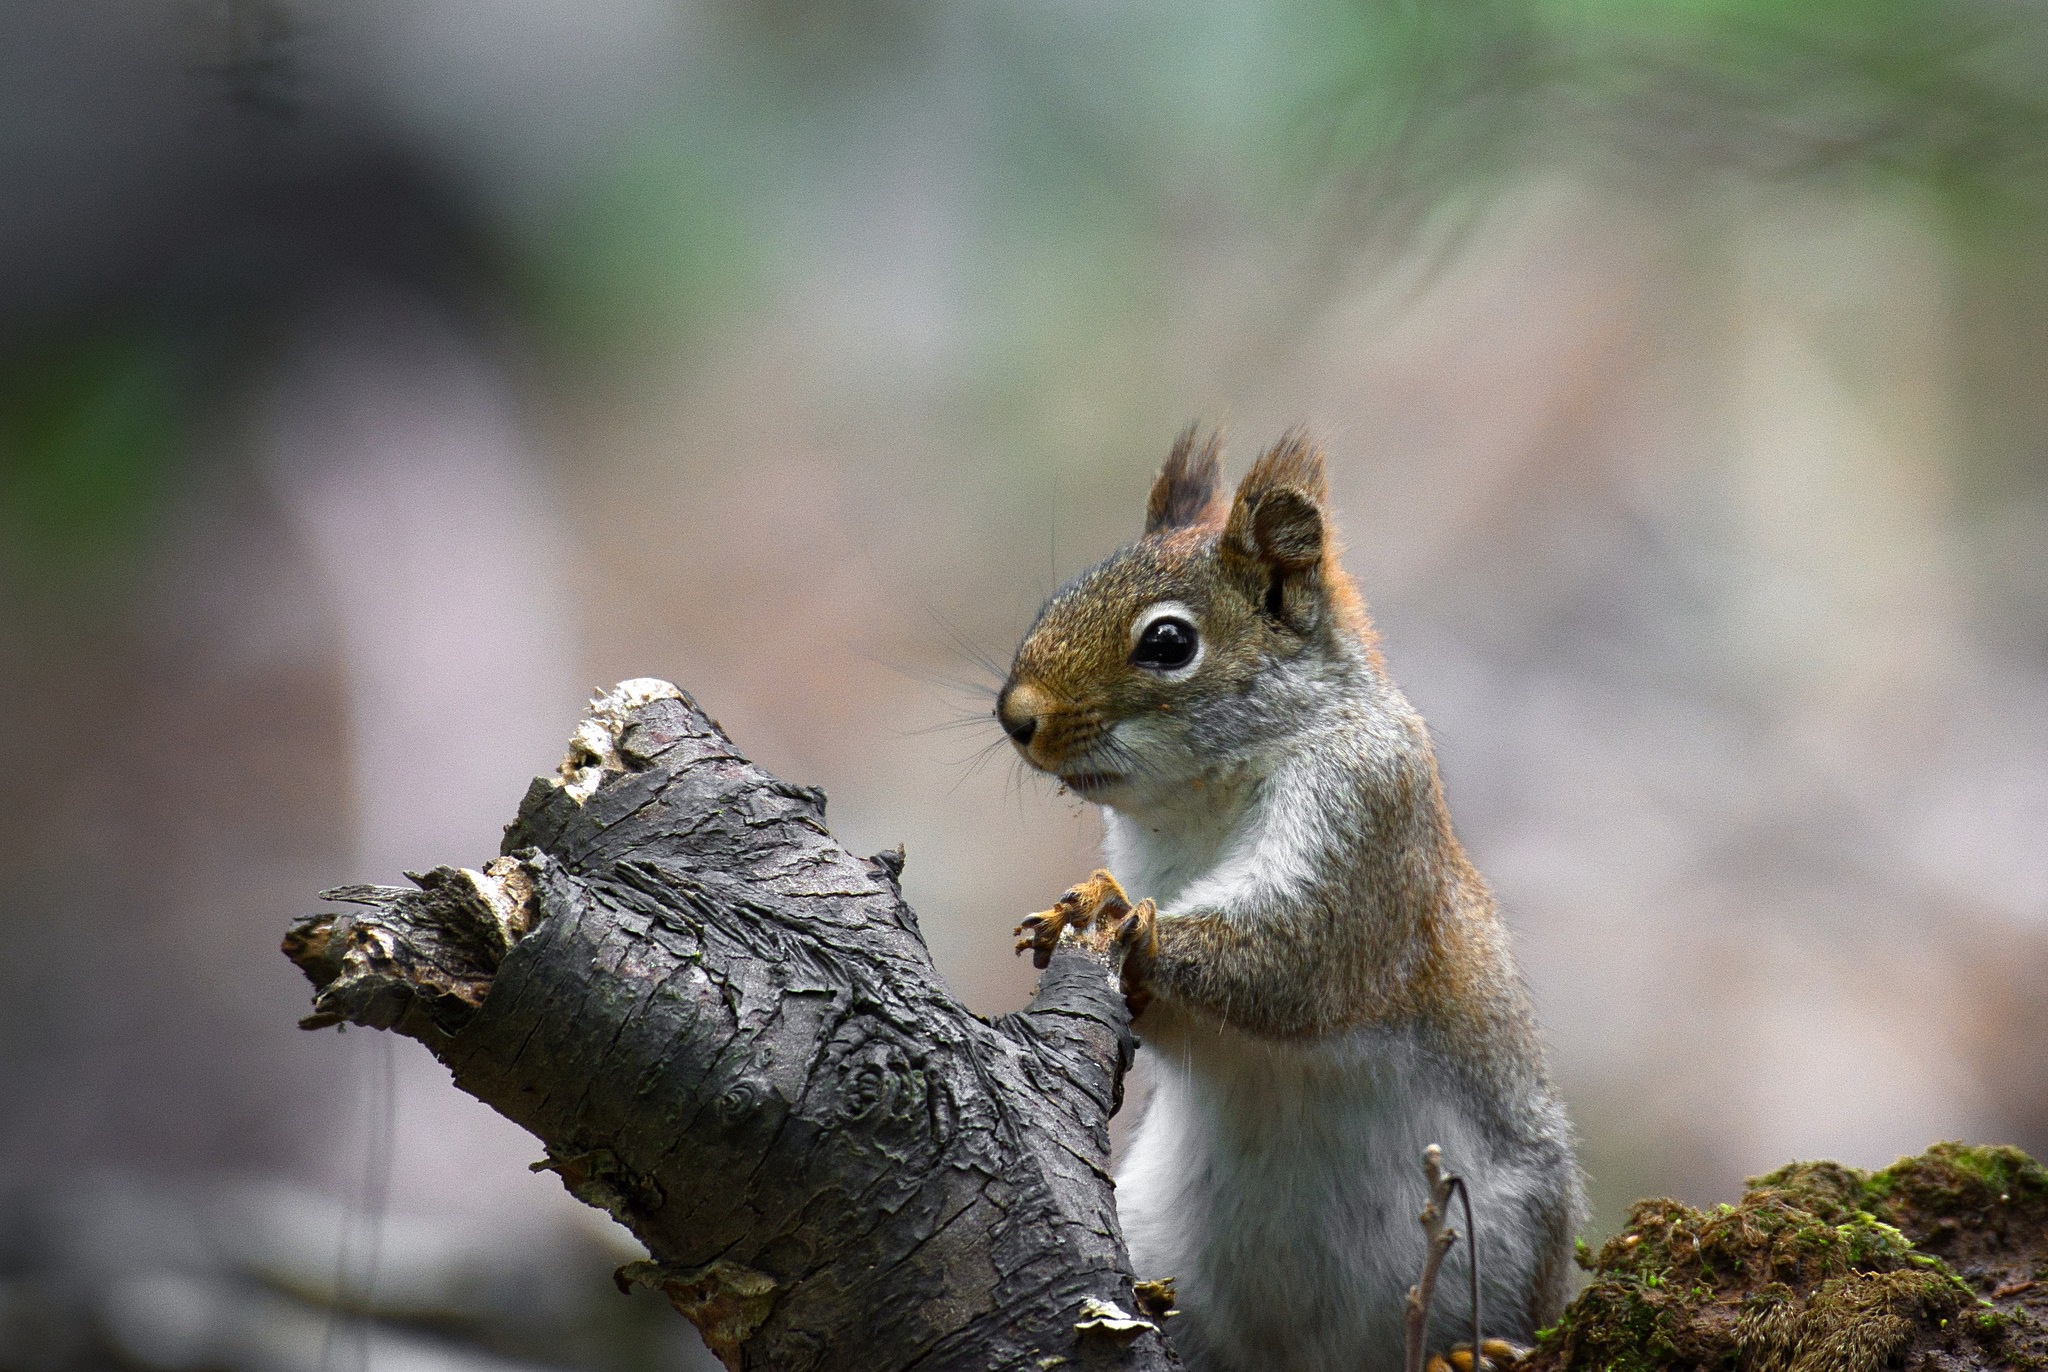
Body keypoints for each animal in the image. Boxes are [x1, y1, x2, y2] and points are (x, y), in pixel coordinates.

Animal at [991, 430, 1581, 1372]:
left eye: (1168, 642)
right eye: (1062, 593)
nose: (1017, 716)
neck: (1205, 796)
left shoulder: (1366, 820)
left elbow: (1299, 957)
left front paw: (1125, 923)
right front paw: (1085, 912)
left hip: (1509, 1245)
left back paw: (1472, 1353)